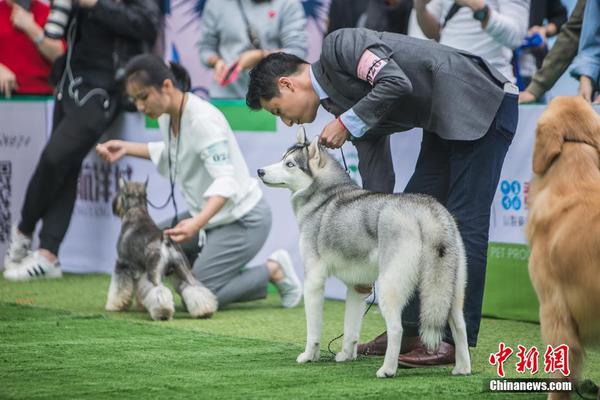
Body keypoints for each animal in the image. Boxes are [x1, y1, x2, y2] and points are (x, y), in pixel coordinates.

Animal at [105, 180, 218, 320]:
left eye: (120, 191)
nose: (114, 205)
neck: (136, 211)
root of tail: (166, 240)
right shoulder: (141, 269)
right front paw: (142, 305)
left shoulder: (122, 263)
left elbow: (119, 288)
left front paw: (115, 305)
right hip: (184, 270)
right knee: (195, 288)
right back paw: (205, 311)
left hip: (155, 274)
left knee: (158, 290)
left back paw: (162, 312)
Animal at [255, 130, 472, 378]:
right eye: (282, 158)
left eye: (290, 164)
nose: (260, 171)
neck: (324, 197)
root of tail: (427, 209)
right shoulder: (358, 286)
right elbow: (350, 328)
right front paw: (346, 355)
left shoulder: (313, 280)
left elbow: (313, 330)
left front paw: (309, 356)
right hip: (450, 289)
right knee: (460, 325)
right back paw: (462, 368)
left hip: (390, 286)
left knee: (396, 329)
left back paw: (387, 369)